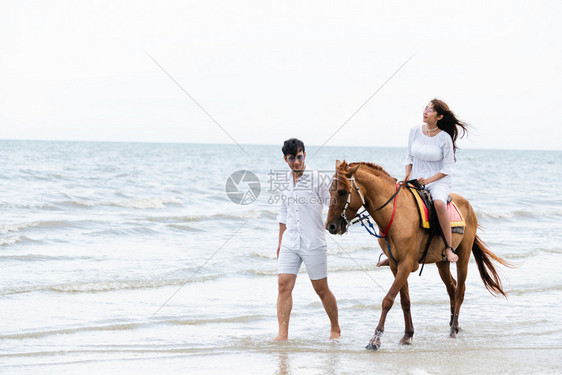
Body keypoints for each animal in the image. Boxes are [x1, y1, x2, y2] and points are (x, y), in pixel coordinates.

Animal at [326, 160, 510, 352]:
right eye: (330, 191)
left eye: (342, 192)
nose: (330, 226)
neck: (396, 214)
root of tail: (469, 206)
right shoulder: (395, 265)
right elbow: (405, 300)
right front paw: (408, 335)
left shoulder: (406, 264)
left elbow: (388, 299)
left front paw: (375, 339)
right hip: (441, 262)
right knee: (451, 287)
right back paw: (454, 324)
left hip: (464, 256)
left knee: (460, 290)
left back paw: (453, 330)